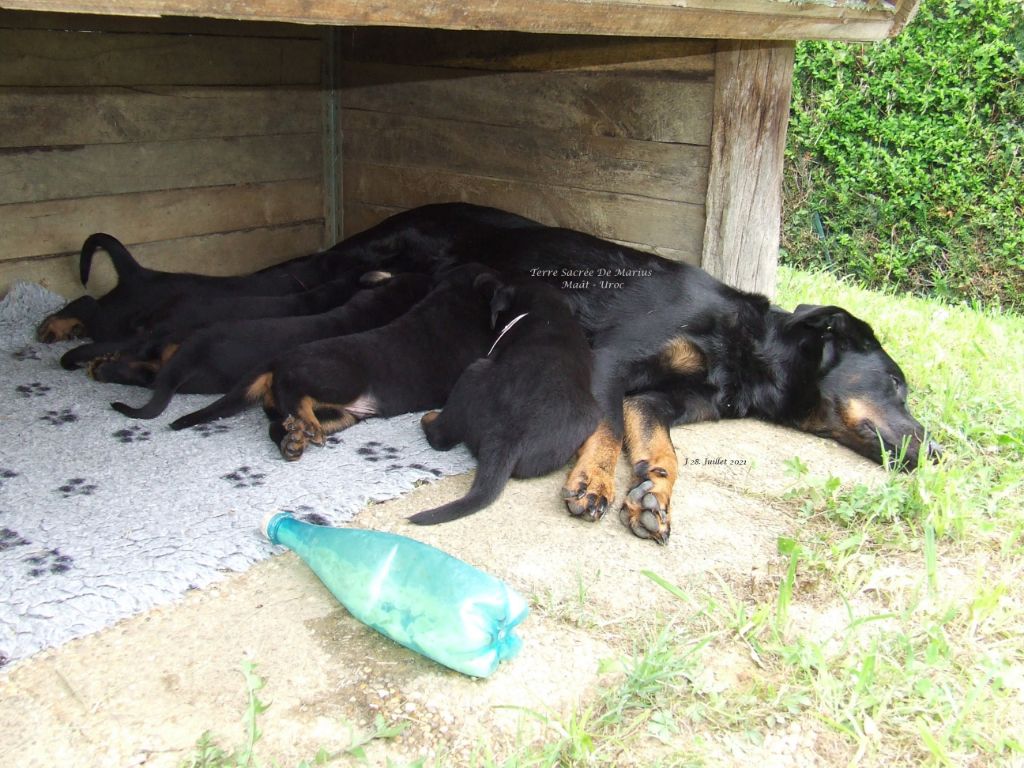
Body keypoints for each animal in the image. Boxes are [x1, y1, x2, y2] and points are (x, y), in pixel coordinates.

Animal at [171, 264, 495, 460]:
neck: (449, 300)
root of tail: (275, 360)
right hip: (338, 379)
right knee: (292, 392)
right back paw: (305, 429)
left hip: (340, 413)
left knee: (279, 425)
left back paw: (295, 440)